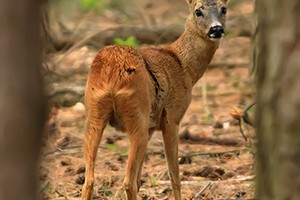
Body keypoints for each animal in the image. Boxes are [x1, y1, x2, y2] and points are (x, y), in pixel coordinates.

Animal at [82, 0, 227, 198]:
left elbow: (140, 178)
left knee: (90, 180)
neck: (184, 67)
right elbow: (175, 177)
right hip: (137, 116)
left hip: (95, 113)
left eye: (224, 9)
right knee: (128, 182)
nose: (216, 29)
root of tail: (111, 74)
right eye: (198, 11)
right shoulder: (172, 116)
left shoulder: (152, 127)